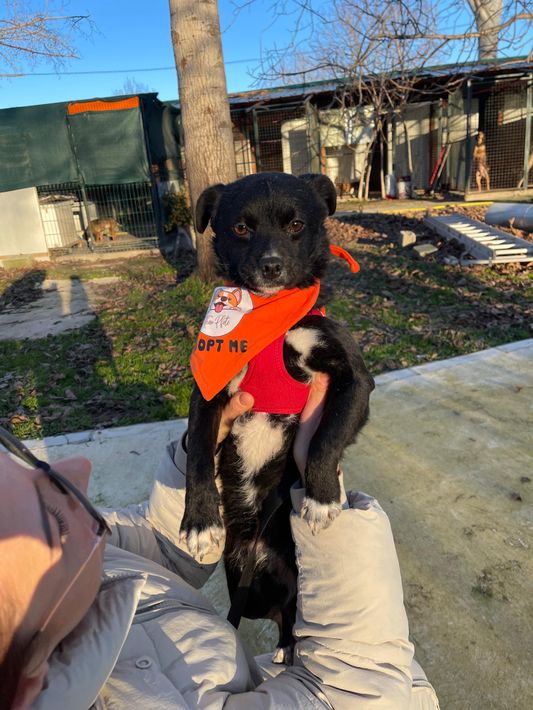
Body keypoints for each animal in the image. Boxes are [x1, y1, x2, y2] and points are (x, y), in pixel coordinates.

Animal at [181, 172, 375, 660]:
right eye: (241, 228)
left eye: (296, 225)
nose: (270, 267)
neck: (270, 322)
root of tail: (258, 546)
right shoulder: (208, 392)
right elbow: (197, 456)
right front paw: (200, 520)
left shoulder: (354, 382)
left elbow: (325, 440)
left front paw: (321, 497)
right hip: (243, 584)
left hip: (287, 586)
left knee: (291, 620)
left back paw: (287, 650)